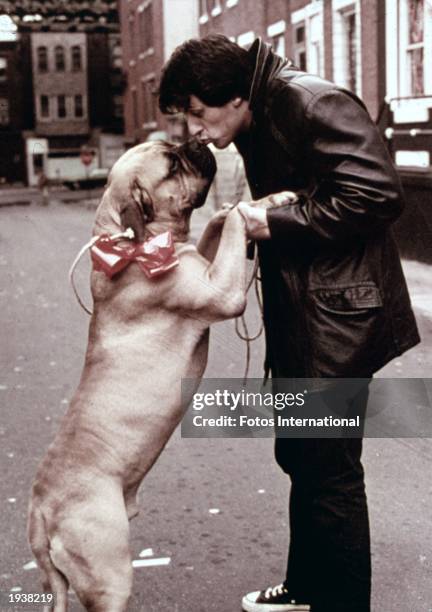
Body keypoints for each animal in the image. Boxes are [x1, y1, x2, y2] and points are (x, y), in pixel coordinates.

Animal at [27, 141, 246, 608]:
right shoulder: (222, 289)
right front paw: (259, 206)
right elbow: (236, 229)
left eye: (177, 150)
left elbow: (214, 230)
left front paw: (229, 210)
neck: (130, 243)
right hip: (110, 577)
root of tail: (41, 512)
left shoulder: (201, 259)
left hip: (59, 585)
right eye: (172, 164)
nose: (195, 141)